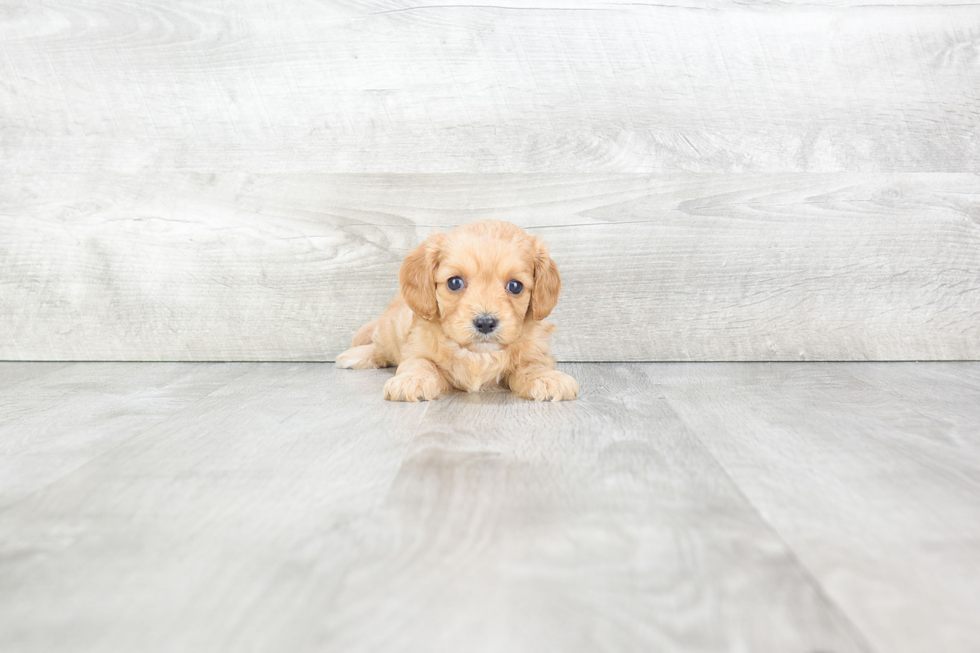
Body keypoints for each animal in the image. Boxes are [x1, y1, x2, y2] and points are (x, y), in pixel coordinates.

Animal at [338, 222, 580, 400]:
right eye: (454, 282)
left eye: (515, 286)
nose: (485, 323)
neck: (478, 354)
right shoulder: (416, 347)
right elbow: (420, 363)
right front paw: (412, 380)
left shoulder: (535, 352)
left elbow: (533, 365)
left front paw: (547, 378)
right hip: (389, 328)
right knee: (380, 347)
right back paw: (354, 356)